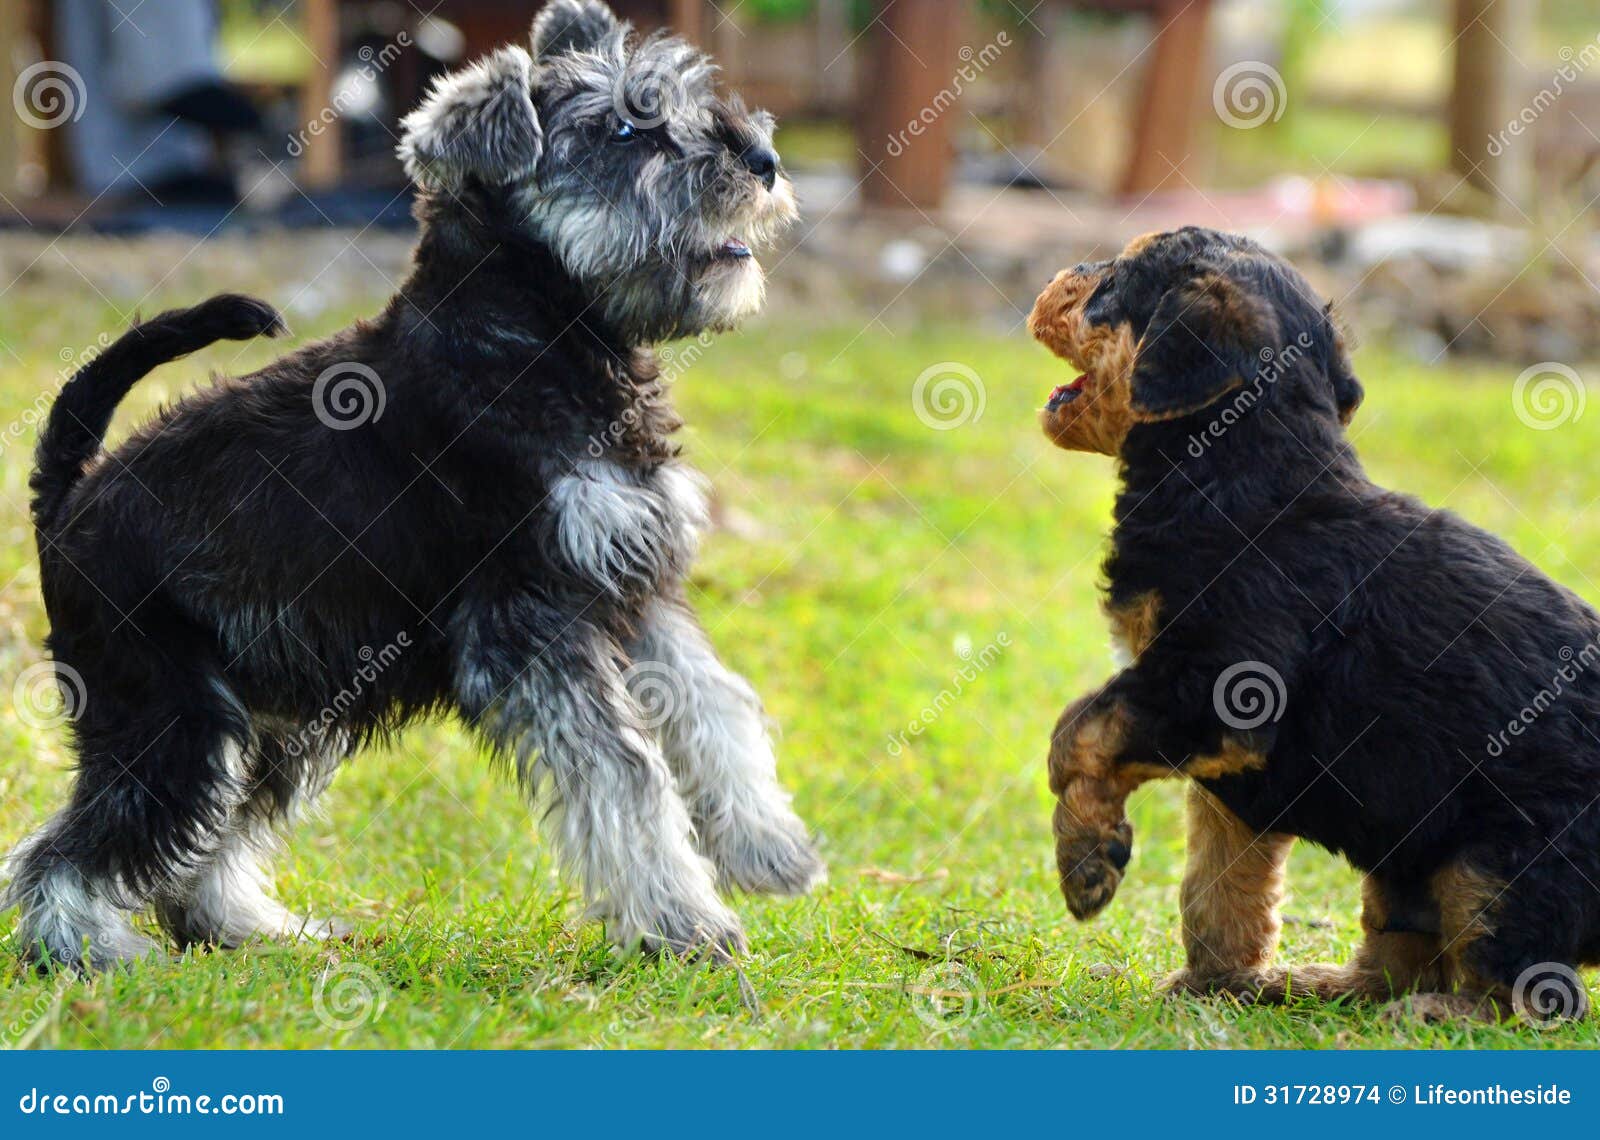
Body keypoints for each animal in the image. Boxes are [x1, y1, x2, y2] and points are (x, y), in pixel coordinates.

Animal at [3, 0, 825, 973]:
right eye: (624, 129)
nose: (763, 159)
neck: (534, 338)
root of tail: (68, 502)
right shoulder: (532, 628)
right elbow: (625, 772)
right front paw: (684, 924)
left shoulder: (635, 589)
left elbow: (716, 706)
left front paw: (769, 848)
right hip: (171, 716)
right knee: (69, 847)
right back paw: (88, 951)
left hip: (276, 715)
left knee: (206, 840)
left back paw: (253, 928)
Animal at [1030, 224, 1593, 1024]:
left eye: (1115, 279)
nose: (1062, 274)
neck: (1240, 474)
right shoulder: (1235, 764)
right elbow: (1219, 881)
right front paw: (1213, 983)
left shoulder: (1214, 689)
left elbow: (1078, 730)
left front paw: (1085, 864)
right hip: (1406, 859)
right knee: (1401, 953)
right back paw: (1309, 984)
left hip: (1502, 859)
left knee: (1524, 987)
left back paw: (1435, 1015)